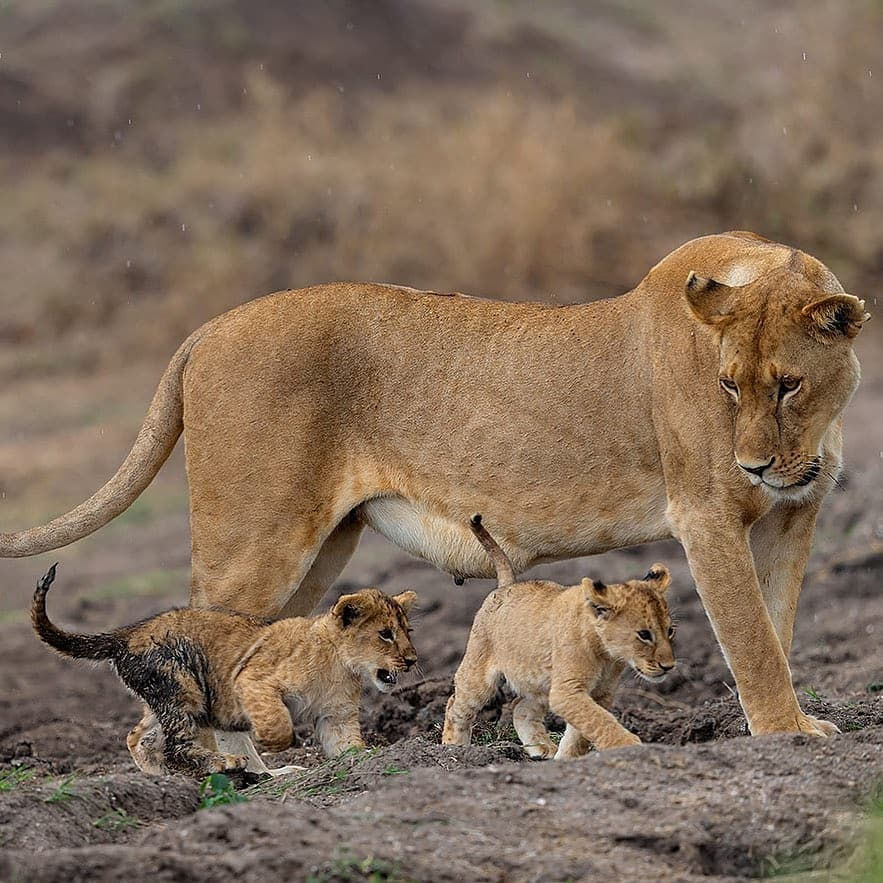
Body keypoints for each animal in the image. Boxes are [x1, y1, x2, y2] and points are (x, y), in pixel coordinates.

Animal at [31, 563, 417, 778]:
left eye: (407, 632)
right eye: (385, 634)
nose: (413, 660)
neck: (340, 666)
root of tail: (128, 633)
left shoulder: (336, 715)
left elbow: (347, 746)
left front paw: (368, 759)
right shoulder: (252, 678)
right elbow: (277, 722)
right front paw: (274, 741)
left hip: (169, 697)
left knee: (137, 736)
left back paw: (164, 777)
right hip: (182, 688)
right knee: (177, 745)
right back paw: (227, 765)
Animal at [443, 515, 675, 757]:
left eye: (670, 631)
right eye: (644, 634)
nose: (669, 666)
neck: (607, 655)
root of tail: (507, 585)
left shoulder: (599, 693)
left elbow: (581, 733)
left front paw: (566, 758)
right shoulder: (567, 691)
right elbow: (600, 722)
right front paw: (631, 747)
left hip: (541, 682)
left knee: (520, 708)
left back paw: (543, 748)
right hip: (479, 675)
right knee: (456, 705)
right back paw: (453, 749)